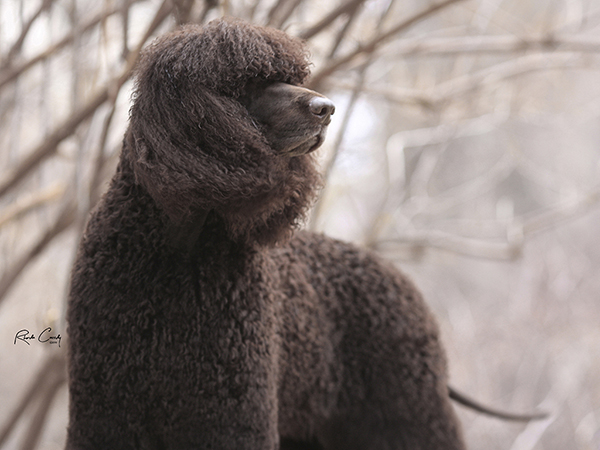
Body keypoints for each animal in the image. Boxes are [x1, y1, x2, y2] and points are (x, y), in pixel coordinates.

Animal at [67, 17, 468, 450]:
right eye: (248, 81)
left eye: (291, 77)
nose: (326, 108)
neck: (176, 255)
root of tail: (397, 277)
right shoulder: (104, 415)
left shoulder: (234, 416)